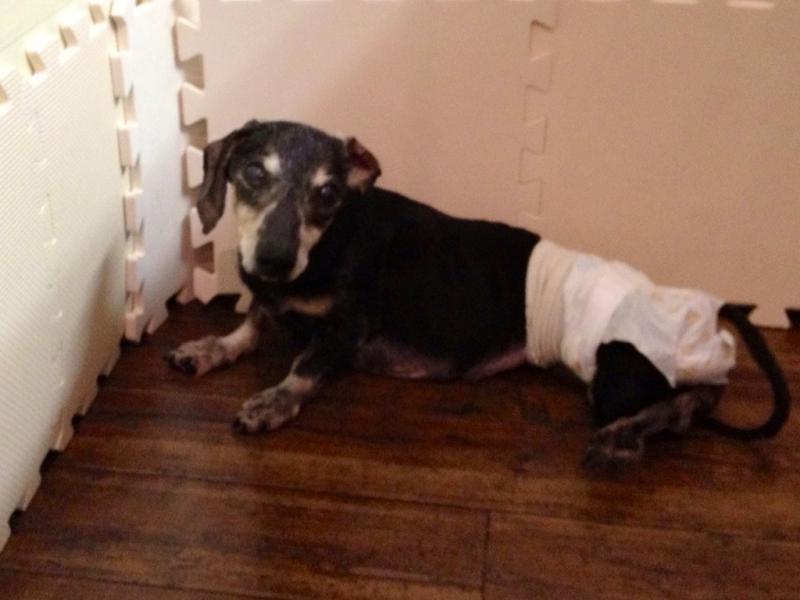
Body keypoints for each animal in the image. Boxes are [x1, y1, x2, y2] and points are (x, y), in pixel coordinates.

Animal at [167, 120, 790, 468]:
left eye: (327, 193)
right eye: (253, 172)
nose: (271, 261)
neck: (320, 253)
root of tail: (711, 310)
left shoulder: (347, 327)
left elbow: (303, 367)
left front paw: (272, 401)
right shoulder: (268, 297)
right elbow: (249, 324)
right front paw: (209, 348)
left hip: (616, 374)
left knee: (689, 399)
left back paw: (622, 437)